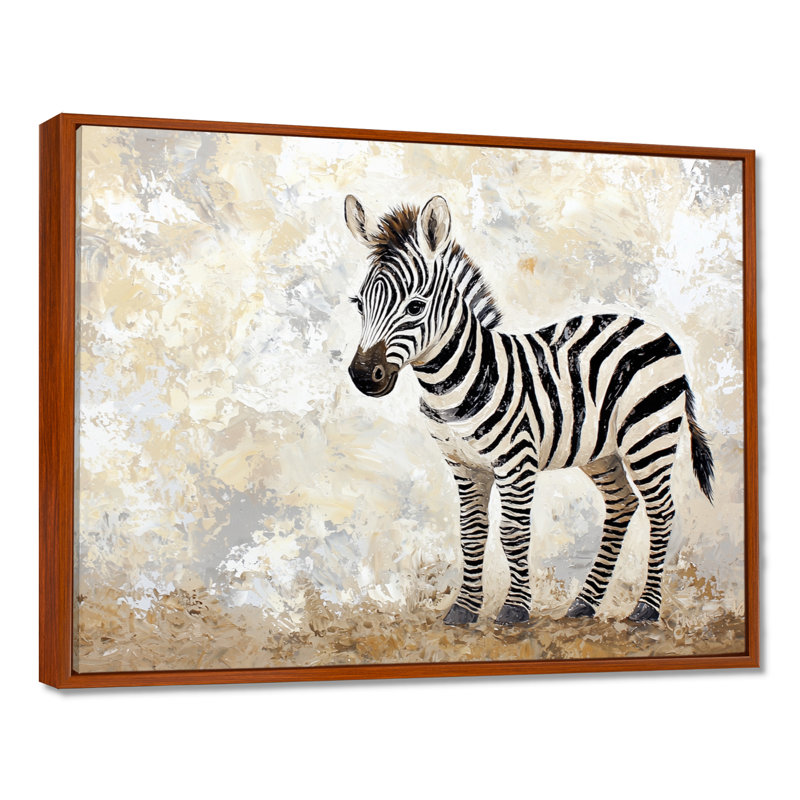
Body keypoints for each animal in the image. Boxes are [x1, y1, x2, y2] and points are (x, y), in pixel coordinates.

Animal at [344, 194, 714, 625]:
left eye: (416, 307)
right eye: (359, 304)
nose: (363, 376)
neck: (458, 380)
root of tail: (657, 329)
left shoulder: (516, 461)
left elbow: (513, 532)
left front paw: (515, 608)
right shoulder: (463, 465)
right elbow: (472, 532)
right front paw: (464, 609)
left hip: (649, 437)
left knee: (662, 511)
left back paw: (646, 608)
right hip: (601, 451)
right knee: (623, 504)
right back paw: (584, 602)